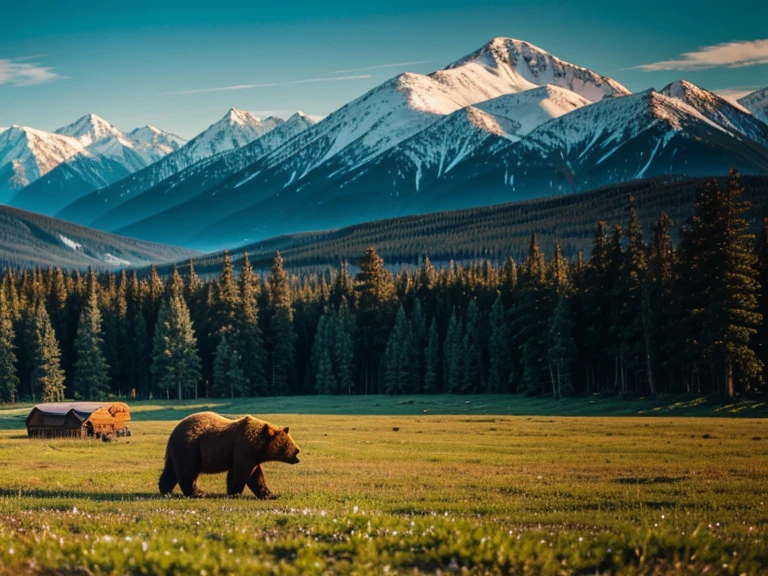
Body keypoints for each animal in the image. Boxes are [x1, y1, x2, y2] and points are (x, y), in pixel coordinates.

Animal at [158, 412, 300, 498]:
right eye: (288, 444)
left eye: (290, 441)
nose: (298, 451)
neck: (257, 446)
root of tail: (174, 431)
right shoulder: (242, 449)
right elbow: (240, 473)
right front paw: (234, 492)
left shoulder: (252, 457)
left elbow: (256, 476)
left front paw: (270, 495)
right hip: (190, 447)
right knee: (188, 472)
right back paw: (199, 492)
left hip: (178, 451)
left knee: (170, 470)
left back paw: (166, 490)